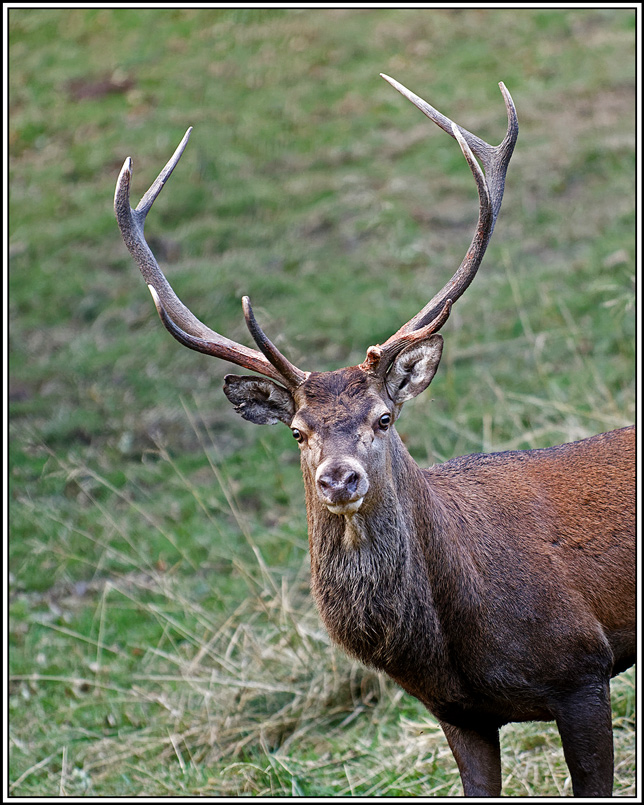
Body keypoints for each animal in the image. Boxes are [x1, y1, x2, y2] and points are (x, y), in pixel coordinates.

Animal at [114, 74, 635, 797]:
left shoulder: (582, 669)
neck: (457, 634)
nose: (340, 477)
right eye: (298, 432)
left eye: (384, 418)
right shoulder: (458, 711)